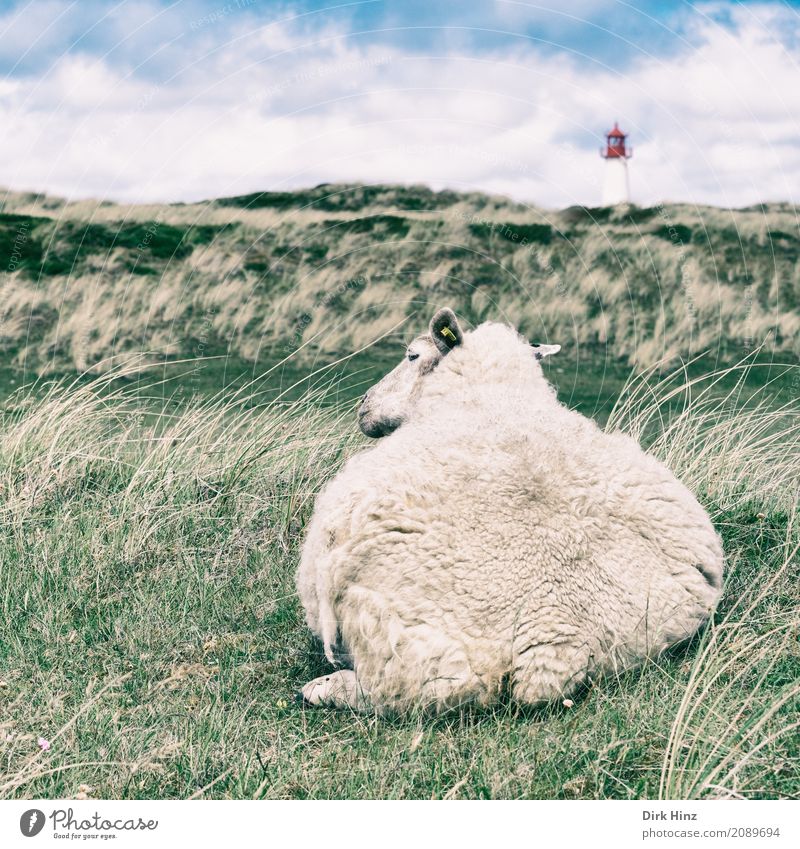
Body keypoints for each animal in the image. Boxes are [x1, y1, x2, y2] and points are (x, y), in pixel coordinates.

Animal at [296, 308, 724, 712]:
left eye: (412, 355)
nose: (363, 406)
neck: (494, 393)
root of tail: (553, 628)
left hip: (411, 648)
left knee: (393, 689)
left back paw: (326, 688)